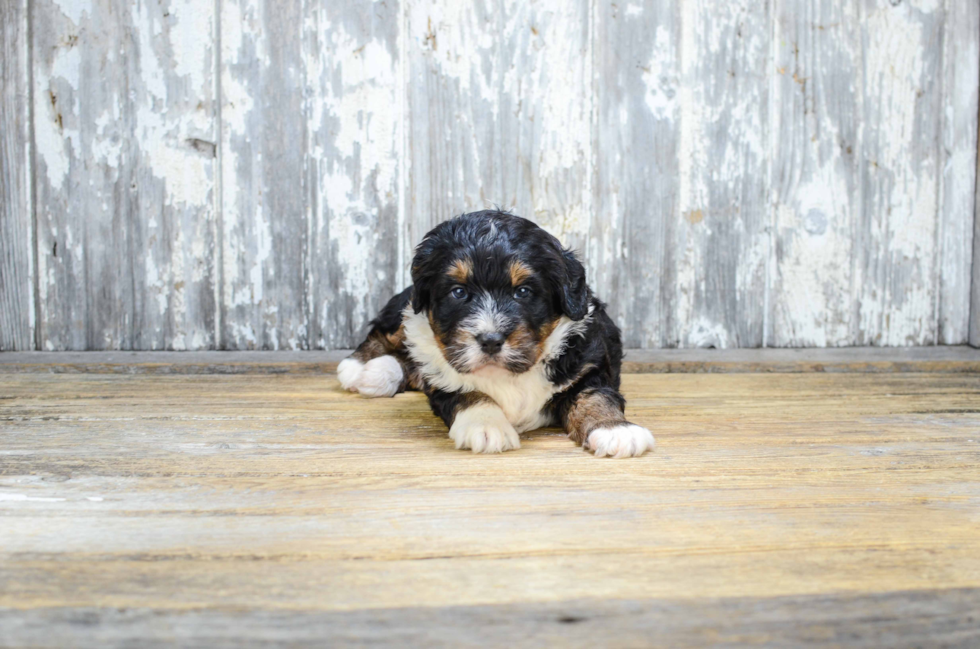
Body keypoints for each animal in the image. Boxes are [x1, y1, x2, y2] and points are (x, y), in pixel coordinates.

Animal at [334, 210, 656, 458]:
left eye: (523, 292)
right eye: (459, 292)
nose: (490, 340)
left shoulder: (589, 363)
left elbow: (595, 396)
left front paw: (615, 430)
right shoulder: (444, 376)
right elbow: (469, 392)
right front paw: (486, 426)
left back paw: (378, 374)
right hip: (408, 308)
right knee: (389, 332)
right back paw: (360, 368)